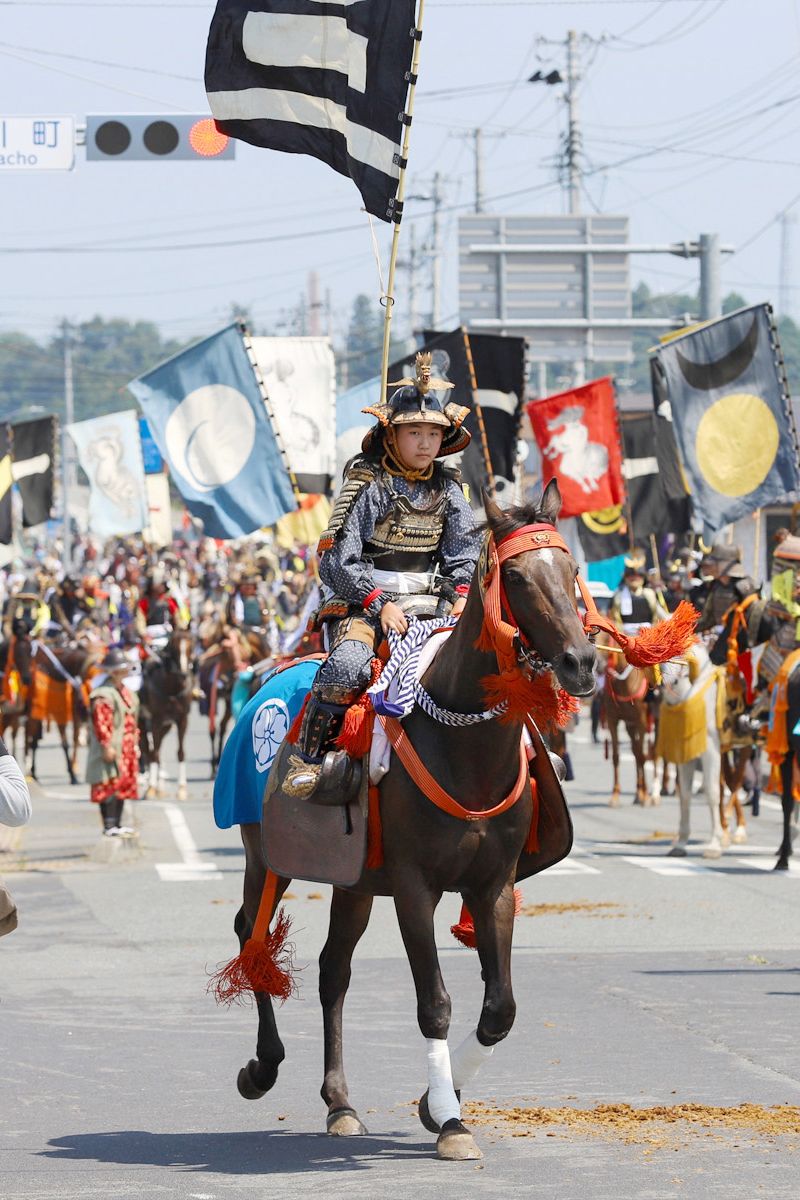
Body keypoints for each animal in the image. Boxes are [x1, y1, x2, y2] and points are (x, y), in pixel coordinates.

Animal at [227, 480, 597, 1161]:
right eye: (516, 577)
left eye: (572, 571)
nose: (581, 661)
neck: (462, 746)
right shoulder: (413, 886)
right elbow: (436, 1004)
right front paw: (449, 1121)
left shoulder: (493, 883)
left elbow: (499, 1010)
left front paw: (436, 1103)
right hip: (265, 855)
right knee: (252, 936)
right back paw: (262, 1066)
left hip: (352, 880)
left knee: (334, 973)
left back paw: (341, 1104)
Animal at [657, 648, 724, 854]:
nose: (664, 683)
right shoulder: (686, 752)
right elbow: (685, 795)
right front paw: (681, 842)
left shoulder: (711, 749)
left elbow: (712, 793)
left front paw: (715, 844)